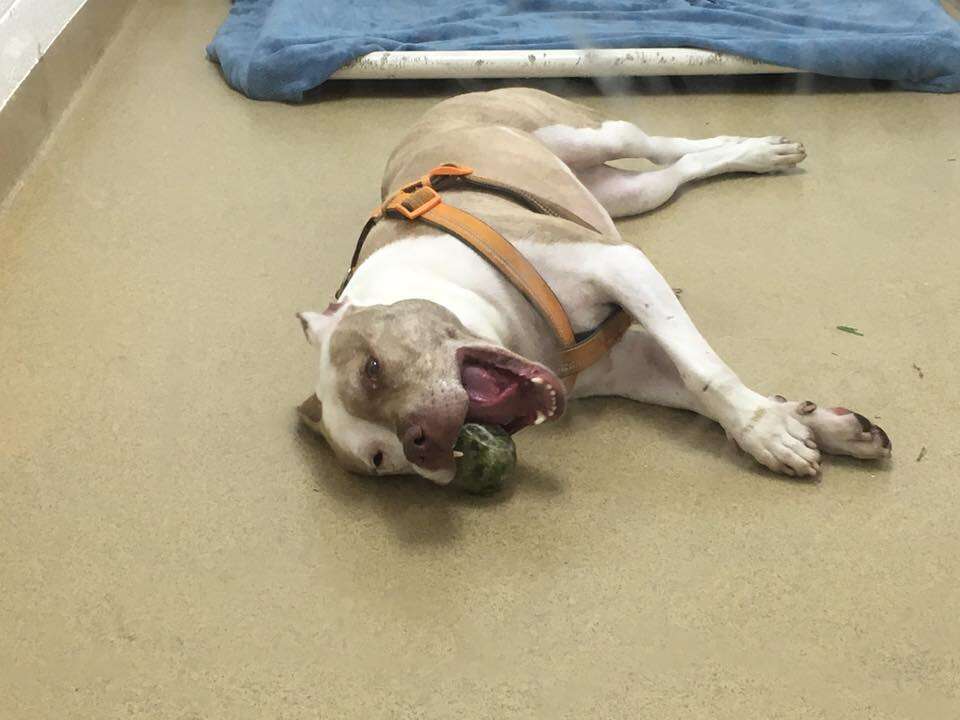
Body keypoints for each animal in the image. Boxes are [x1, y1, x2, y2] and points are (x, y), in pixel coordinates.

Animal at [300, 88, 892, 484]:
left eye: (373, 368)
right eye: (382, 460)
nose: (421, 444)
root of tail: (440, 104)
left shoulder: (620, 264)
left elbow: (703, 372)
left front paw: (763, 428)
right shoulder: (629, 363)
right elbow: (700, 388)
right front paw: (808, 426)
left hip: (591, 133)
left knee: (664, 144)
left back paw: (758, 149)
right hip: (628, 194)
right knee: (676, 172)